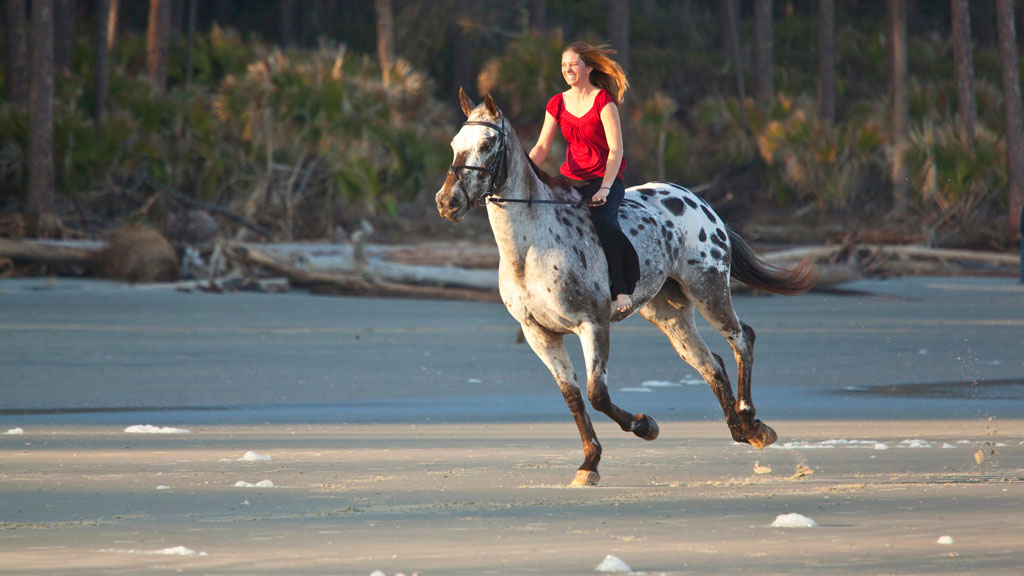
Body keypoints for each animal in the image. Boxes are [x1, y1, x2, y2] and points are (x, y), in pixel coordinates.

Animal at [434, 90, 815, 483]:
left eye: (487, 143)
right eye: (454, 144)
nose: (447, 202)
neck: (530, 249)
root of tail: (698, 202)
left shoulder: (593, 323)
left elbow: (596, 394)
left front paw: (646, 427)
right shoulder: (539, 333)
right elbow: (572, 397)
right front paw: (589, 463)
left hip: (708, 289)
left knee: (741, 339)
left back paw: (753, 423)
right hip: (668, 313)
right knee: (710, 362)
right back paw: (740, 429)